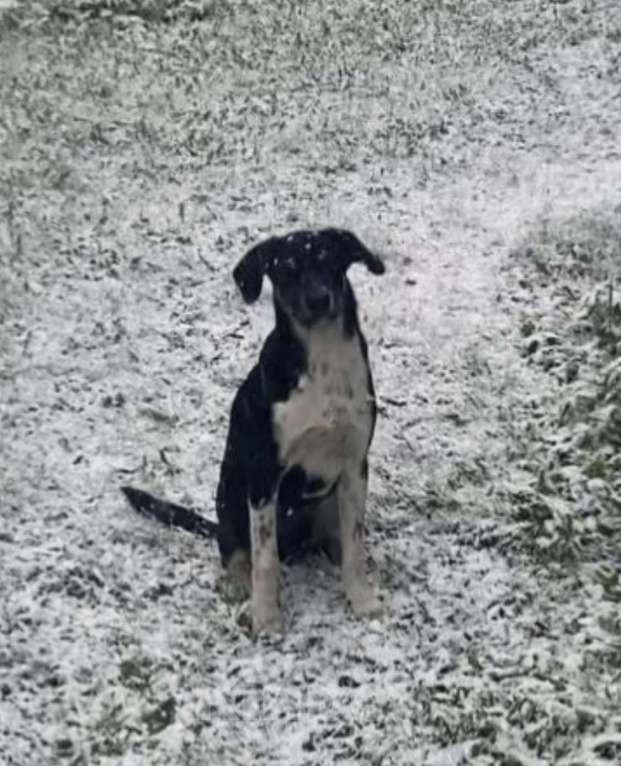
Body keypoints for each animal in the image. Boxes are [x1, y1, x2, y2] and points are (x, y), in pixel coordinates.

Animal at [121, 228, 386, 636]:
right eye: (286, 269)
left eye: (329, 260)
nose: (318, 299)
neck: (322, 360)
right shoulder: (264, 476)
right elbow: (264, 558)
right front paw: (266, 617)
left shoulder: (356, 462)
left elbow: (355, 543)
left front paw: (361, 599)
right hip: (229, 497)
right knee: (235, 550)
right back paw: (237, 585)